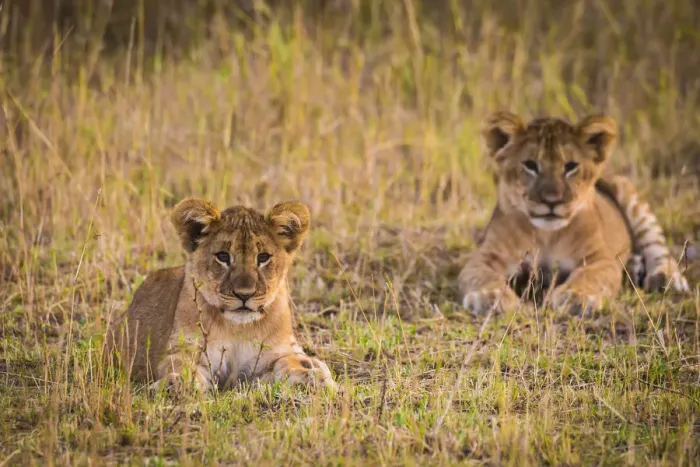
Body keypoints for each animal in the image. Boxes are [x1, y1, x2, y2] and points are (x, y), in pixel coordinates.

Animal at [106, 198, 337, 392]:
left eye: (263, 257)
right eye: (223, 256)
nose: (244, 295)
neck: (238, 328)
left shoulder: (269, 358)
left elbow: (287, 363)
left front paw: (312, 377)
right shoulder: (187, 350)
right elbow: (181, 365)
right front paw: (177, 384)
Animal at [458, 111, 689, 314]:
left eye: (570, 166)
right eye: (530, 165)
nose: (552, 201)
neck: (547, 235)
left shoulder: (600, 258)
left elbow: (588, 276)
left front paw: (576, 297)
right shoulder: (485, 256)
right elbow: (483, 276)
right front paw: (490, 297)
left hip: (627, 193)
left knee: (656, 243)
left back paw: (667, 278)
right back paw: (635, 266)